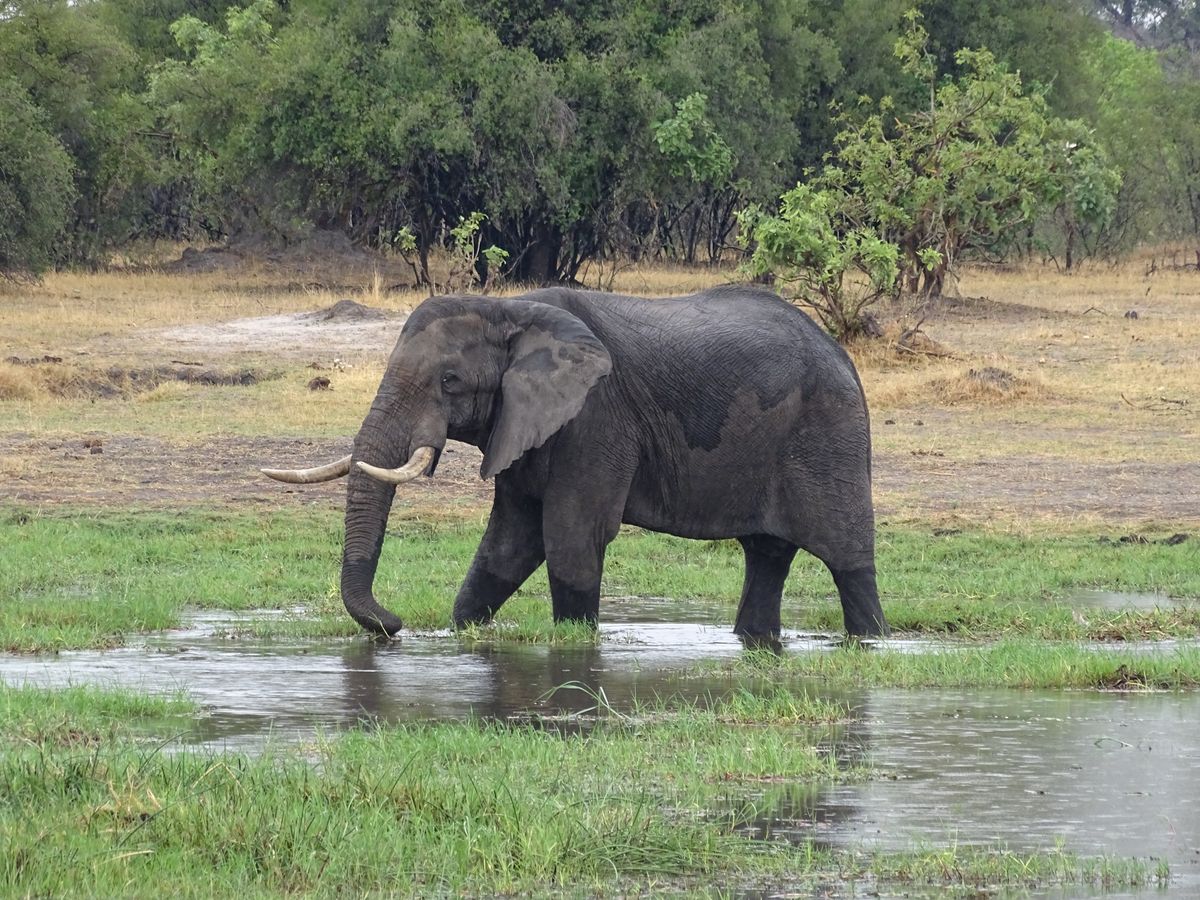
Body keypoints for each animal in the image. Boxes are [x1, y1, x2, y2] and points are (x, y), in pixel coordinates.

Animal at [263, 285, 888, 640]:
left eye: (450, 381)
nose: (394, 626)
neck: (509, 310)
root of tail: (839, 349)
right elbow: (506, 548)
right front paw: (460, 634)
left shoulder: (595, 415)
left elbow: (569, 538)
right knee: (767, 555)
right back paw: (756, 642)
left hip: (829, 434)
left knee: (848, 562)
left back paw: (871, 641)